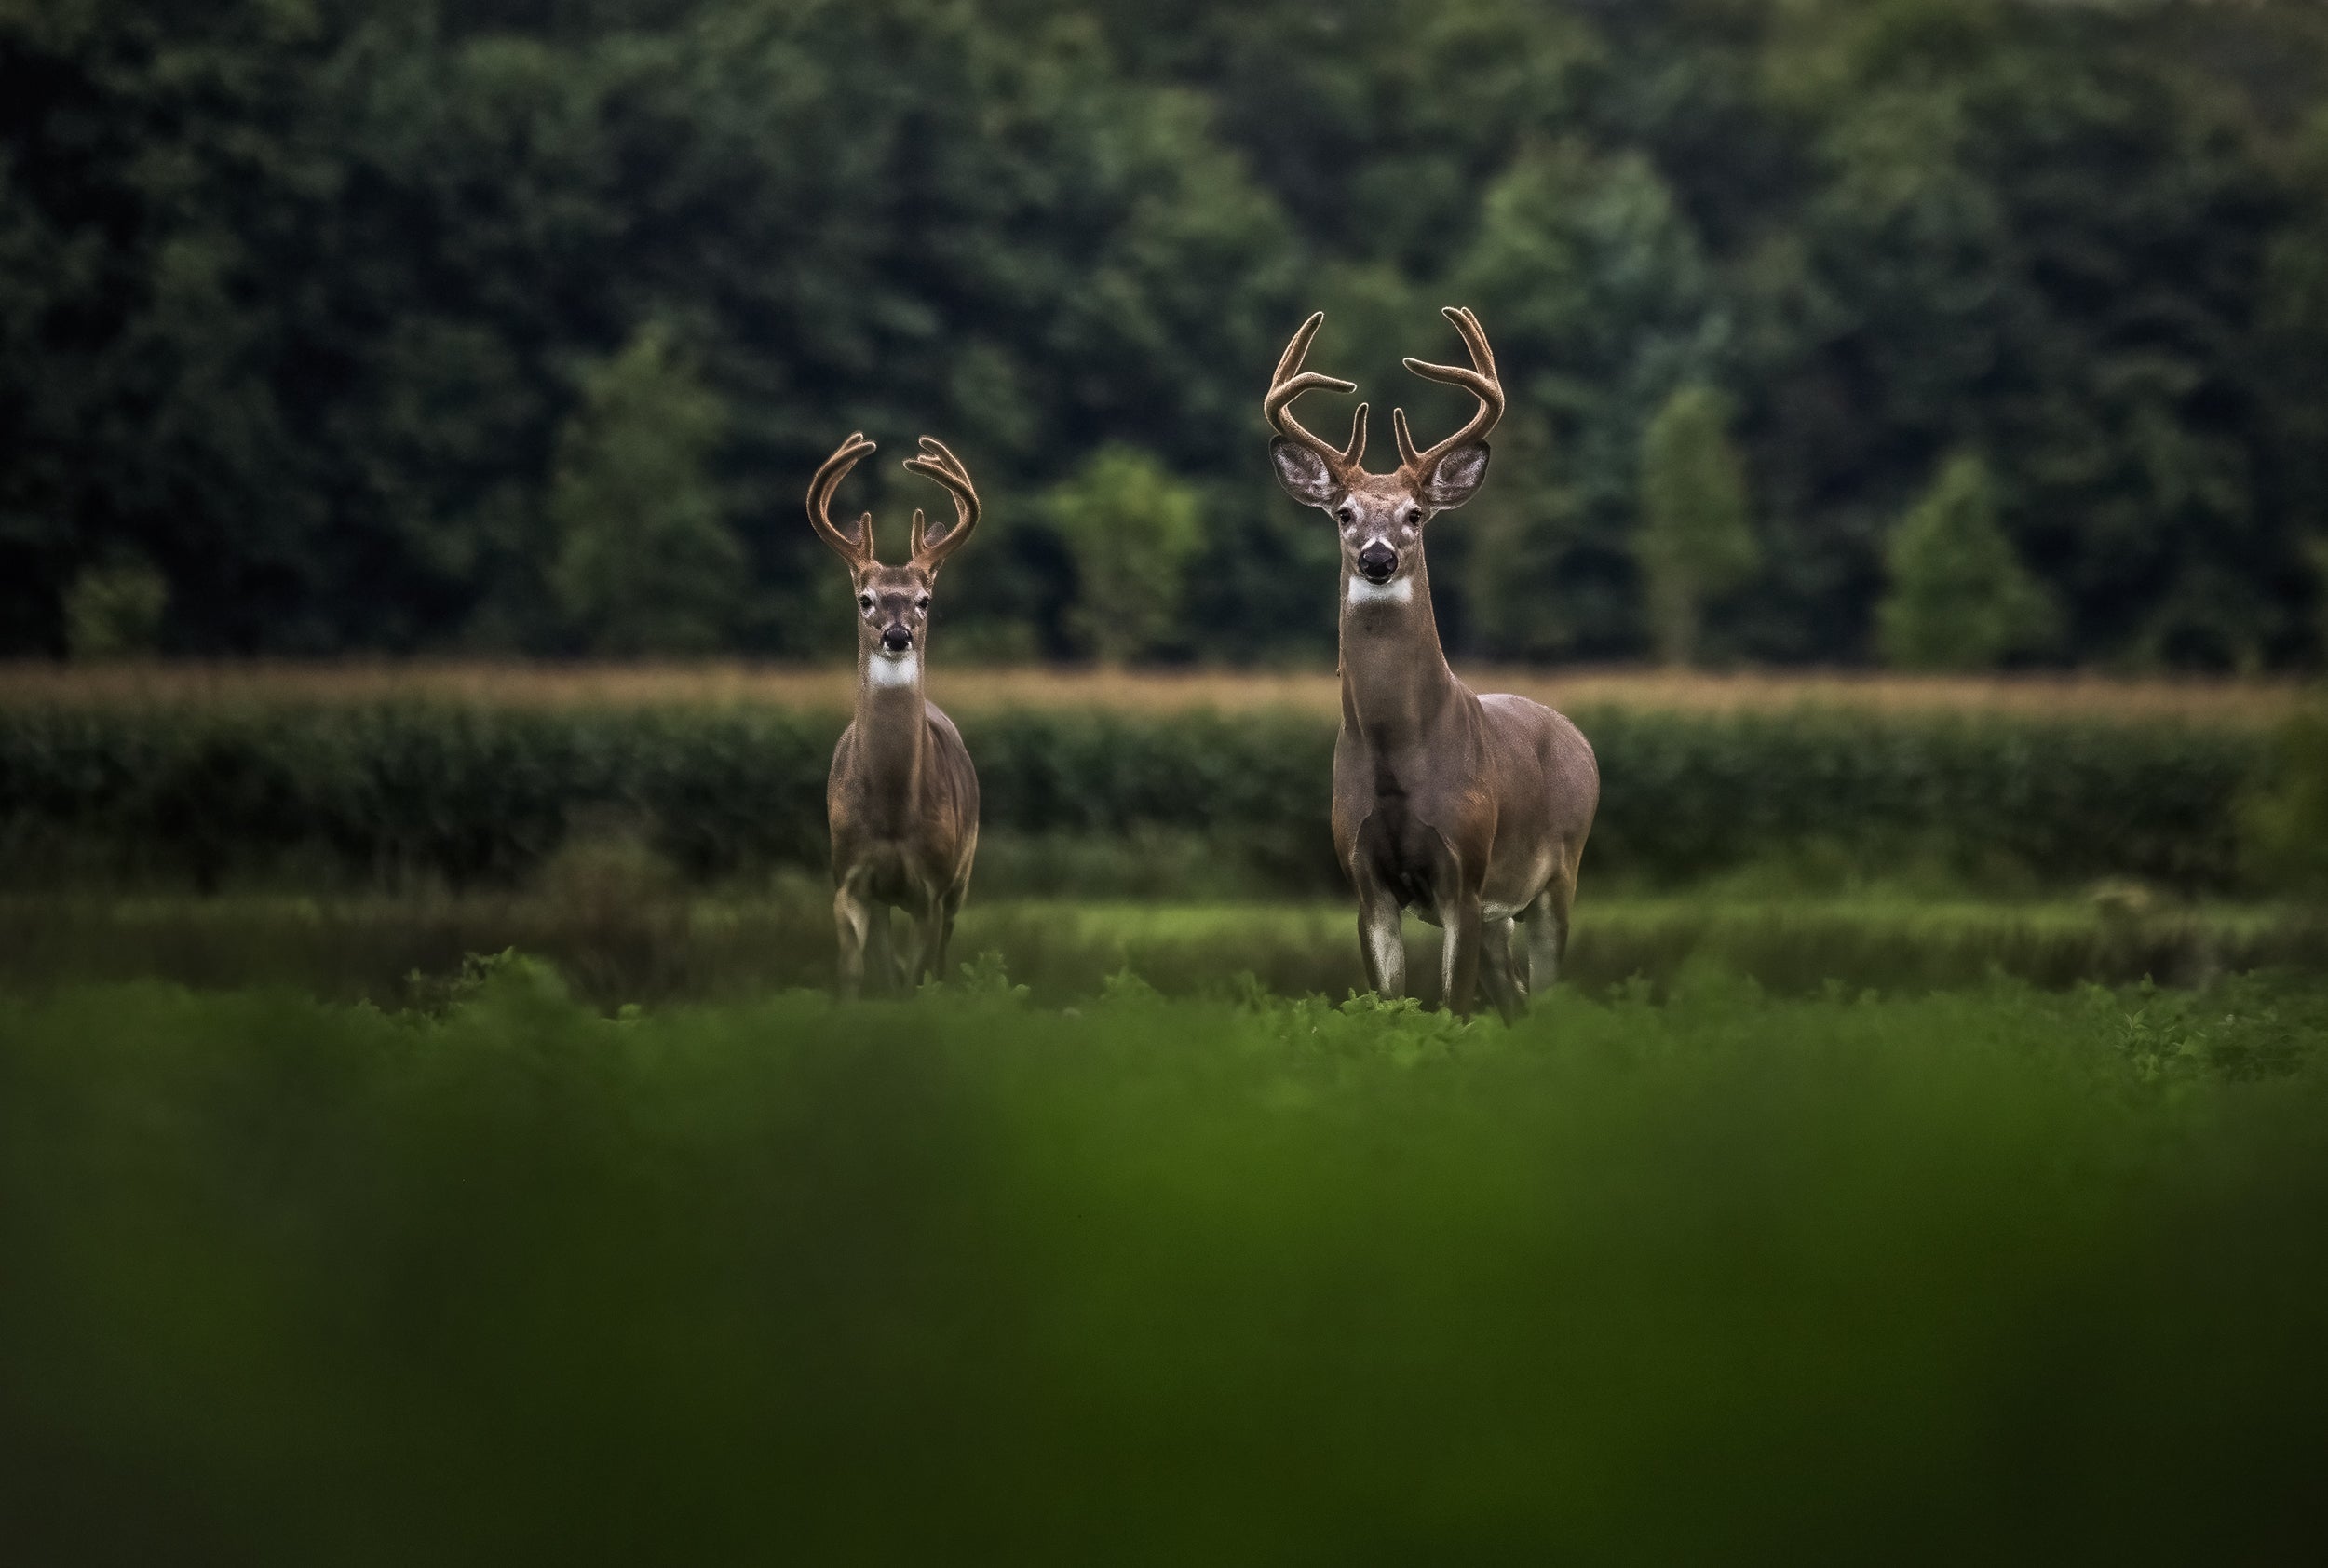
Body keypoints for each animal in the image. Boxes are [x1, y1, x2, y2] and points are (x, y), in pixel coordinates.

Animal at [808, 432, 983, 999]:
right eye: (865, 599)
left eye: (924, 600)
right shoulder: (849, 880)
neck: (890, 816)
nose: (898, 634)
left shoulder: (931, 885)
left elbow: (916, 977)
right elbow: (856, 972)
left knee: (940, 958)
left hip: (961, 878)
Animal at [1265, 307, 1598, 1022]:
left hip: (1559, 873)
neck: (1399, 750)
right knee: (1518, 999)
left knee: (1549, 993)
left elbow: (1451, 1010)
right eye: (1344, 513)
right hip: (1506, 913)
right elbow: (1388, 1007)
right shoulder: (1365, 881)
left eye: (1415, 514)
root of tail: (1575, 735)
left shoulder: (1463, 874)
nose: (1378, 557)